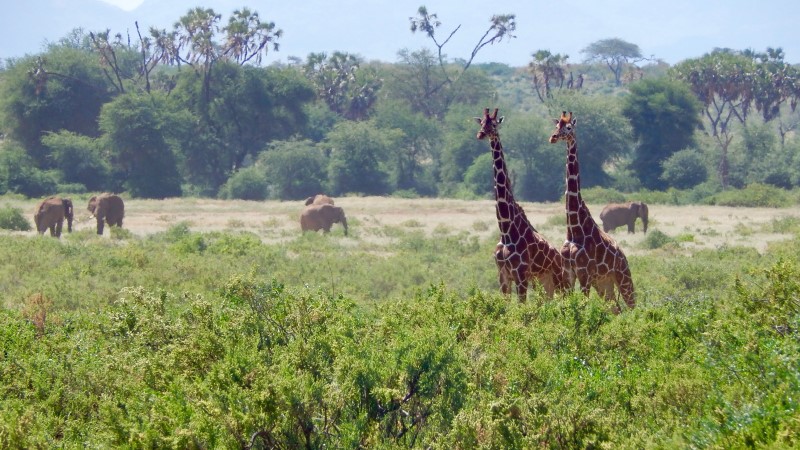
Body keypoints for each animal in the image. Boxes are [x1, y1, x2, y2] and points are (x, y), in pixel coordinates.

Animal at [476, 107, 568, 300]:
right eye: (482, 123)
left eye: (493, 124)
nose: (480, 134)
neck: (506, 230)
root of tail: (559, 256)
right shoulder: (503, 275)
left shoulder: (520, 275)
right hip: (542, 282)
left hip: (558, 279)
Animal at [548, 110, 636, 312]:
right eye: (556, 126)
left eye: (569, 127)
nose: (553, 137)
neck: (574, 229)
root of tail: (624, 256)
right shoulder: (568, 273)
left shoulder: (584, 274)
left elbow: (582, 307)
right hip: (604, 284)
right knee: (616, 309)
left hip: (623, 278)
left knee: (633, 306)